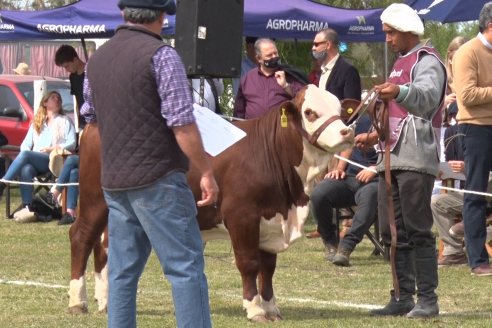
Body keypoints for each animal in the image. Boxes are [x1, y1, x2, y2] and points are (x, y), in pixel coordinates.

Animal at [68, 84, 354, 320]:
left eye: (341, 110)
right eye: (310, 112)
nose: (346, 132)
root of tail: (93, 125)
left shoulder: (270, 218)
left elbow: (268, 267)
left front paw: (272, 308)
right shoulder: (241, 214)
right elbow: (249, 263)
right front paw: (255, 309)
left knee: (104, 246)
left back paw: (105, 301)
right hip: (94, 199)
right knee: (82, 237)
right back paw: (77, 301)